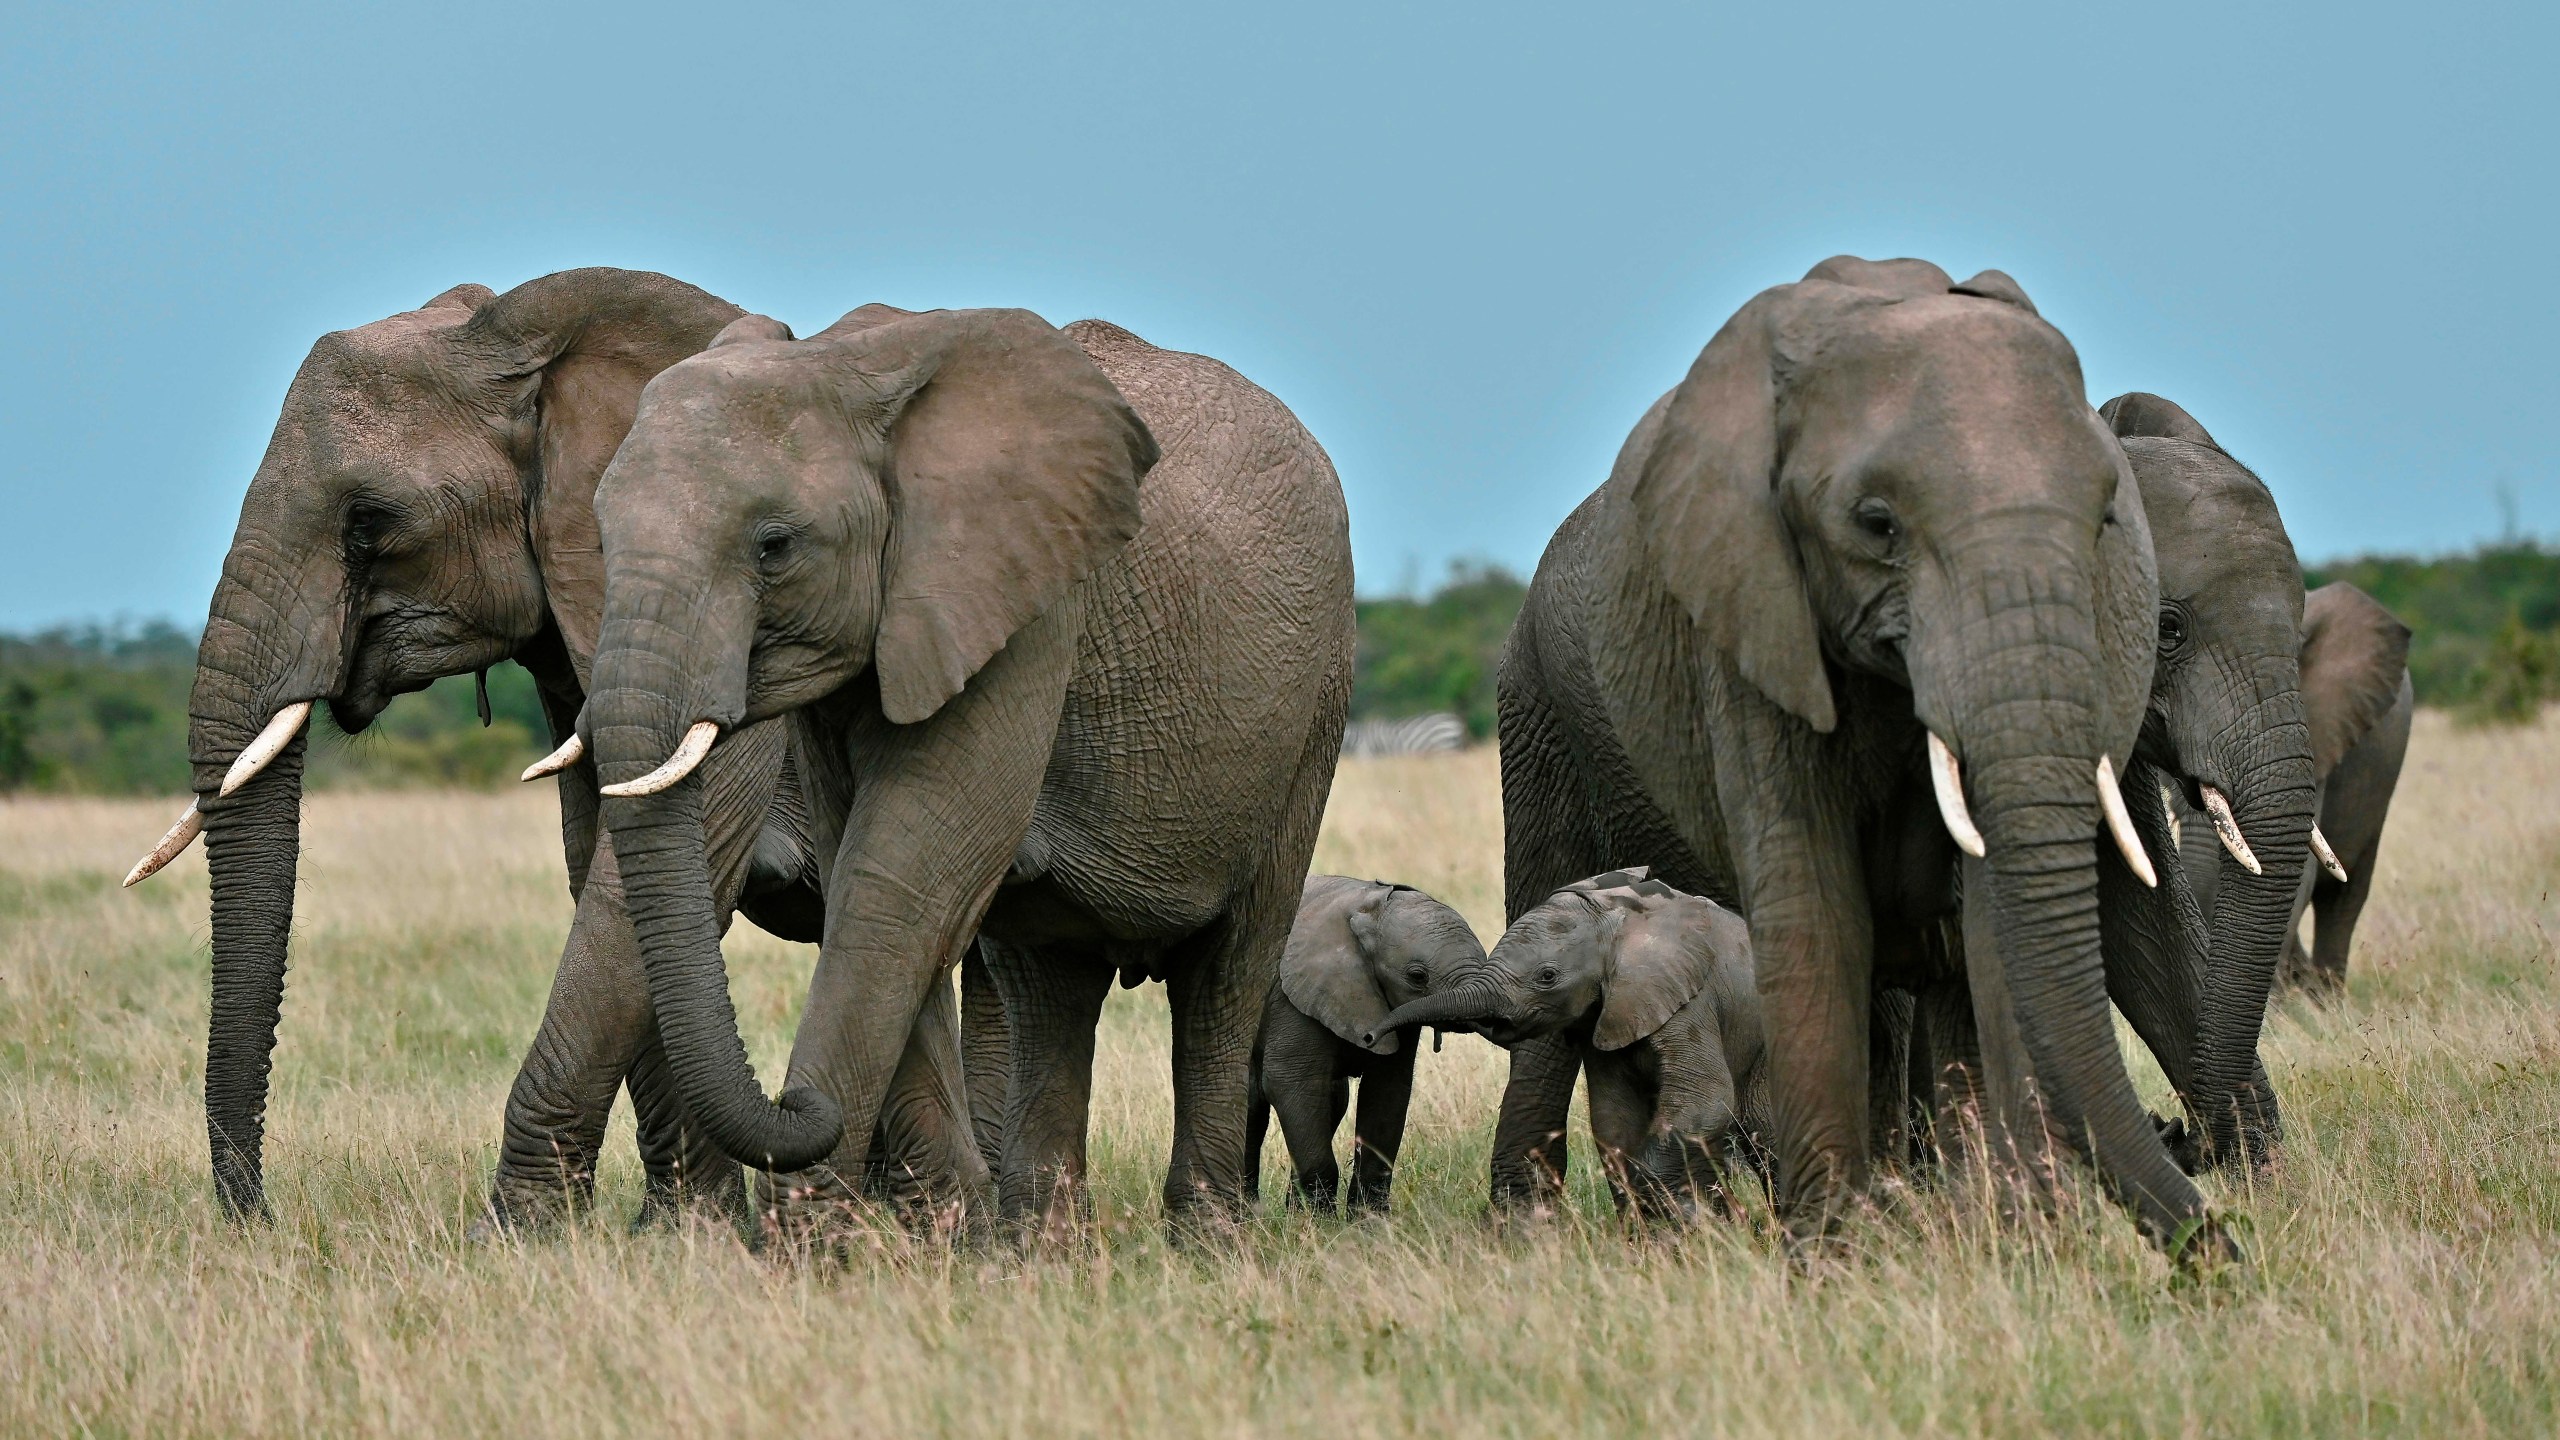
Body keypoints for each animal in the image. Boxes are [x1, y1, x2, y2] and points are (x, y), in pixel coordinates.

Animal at [578, 308, 1361, 1229]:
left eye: (774, 547)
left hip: (1313, 712)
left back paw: (1205, 1236)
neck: (845, 366)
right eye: (600, 536)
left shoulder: (1029, 605)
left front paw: (812, 1242)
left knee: (1227, 970)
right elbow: (873, 871)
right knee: (1050, 986)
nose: (793, 1100)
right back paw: (1043, 1242)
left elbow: (904, 871)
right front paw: (941, 1232)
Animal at [1249, 876, 1495, 1209]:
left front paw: (1369, 1221)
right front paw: (1317, 1221)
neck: (1367, 907)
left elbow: (1387, 1091)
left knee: (1333, 1099)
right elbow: (1289, 1082)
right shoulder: (1289, 998)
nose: (1369, 1037)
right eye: (1417, 976)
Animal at [1372, 871, 1771, 1214]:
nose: (1373, 1034)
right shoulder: (1605, 1017)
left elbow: (1707, 1099)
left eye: (1548, 977)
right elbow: (1614, 1118)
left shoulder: (1690, 1002)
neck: (1618, 922)